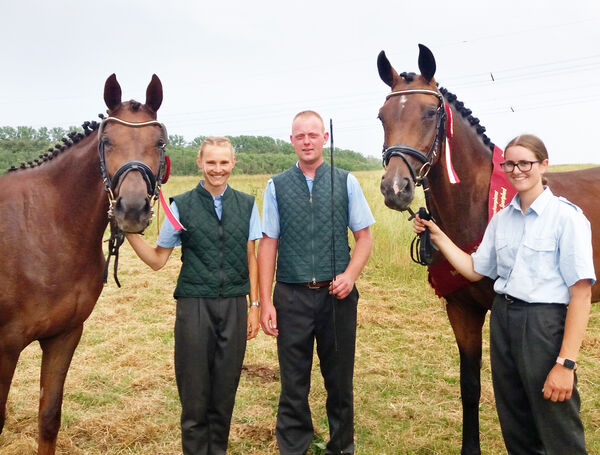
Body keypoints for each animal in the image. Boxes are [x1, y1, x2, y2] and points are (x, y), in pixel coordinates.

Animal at [0, 73, 169, 454]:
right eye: (106, 142)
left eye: (159, 142)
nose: (131, 210)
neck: (47, 227)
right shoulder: (4, 346)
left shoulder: (64, 335)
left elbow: (49, 418)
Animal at [378, 43, 600, 455]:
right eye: (382, 116)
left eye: (431, 112)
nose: (394, 188)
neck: (476, 206)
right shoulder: (461, 309)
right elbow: (470, 386)